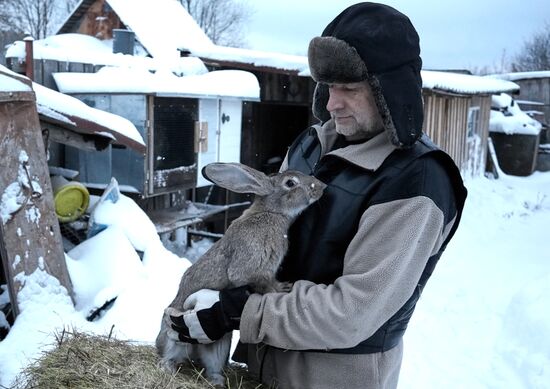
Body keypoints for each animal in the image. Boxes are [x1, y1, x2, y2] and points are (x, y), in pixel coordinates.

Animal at [155, 161, 328, 384]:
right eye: (290, 183)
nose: (322, 186)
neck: (272, 212)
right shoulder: (253, 268)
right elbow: (261, 283)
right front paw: (281, 289)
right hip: (171, 335)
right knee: (168, 355)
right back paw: (167, 367)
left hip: (219, 344)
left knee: (212, 366)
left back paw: (218, 381)